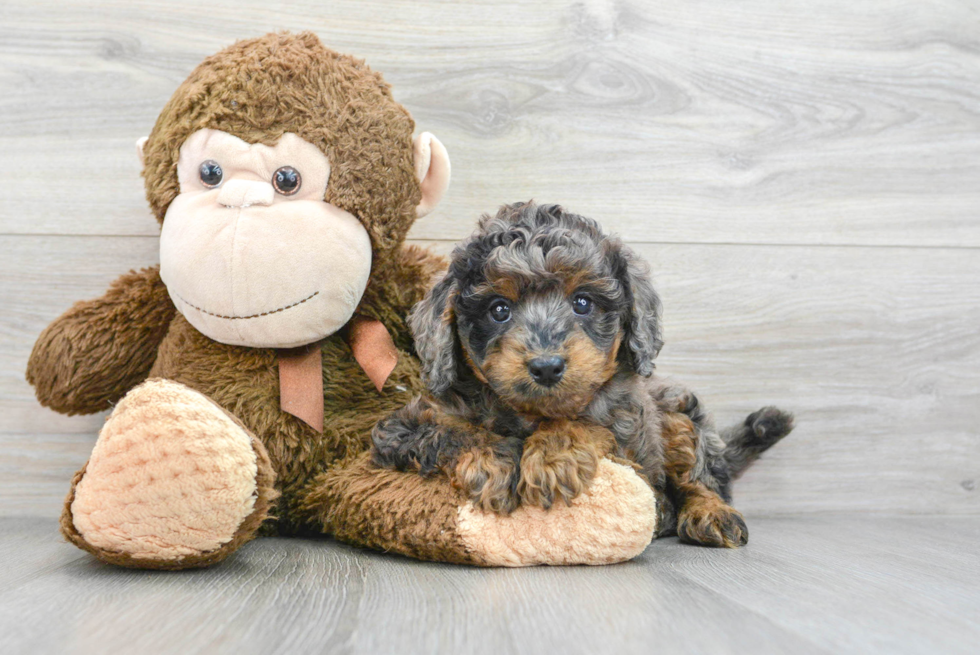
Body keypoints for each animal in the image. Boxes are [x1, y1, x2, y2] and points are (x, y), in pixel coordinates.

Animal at [372, 201, 792, 548]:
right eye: (499, 309)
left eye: (583, 302)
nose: (546, 366)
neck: (531, 414)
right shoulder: (400, 429)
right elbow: (452, 430)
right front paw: (495, 462)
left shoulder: (629, 436)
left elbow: (586, 424)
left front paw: (553, 458)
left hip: (677, 414)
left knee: (700, 478)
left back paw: (708, 512)